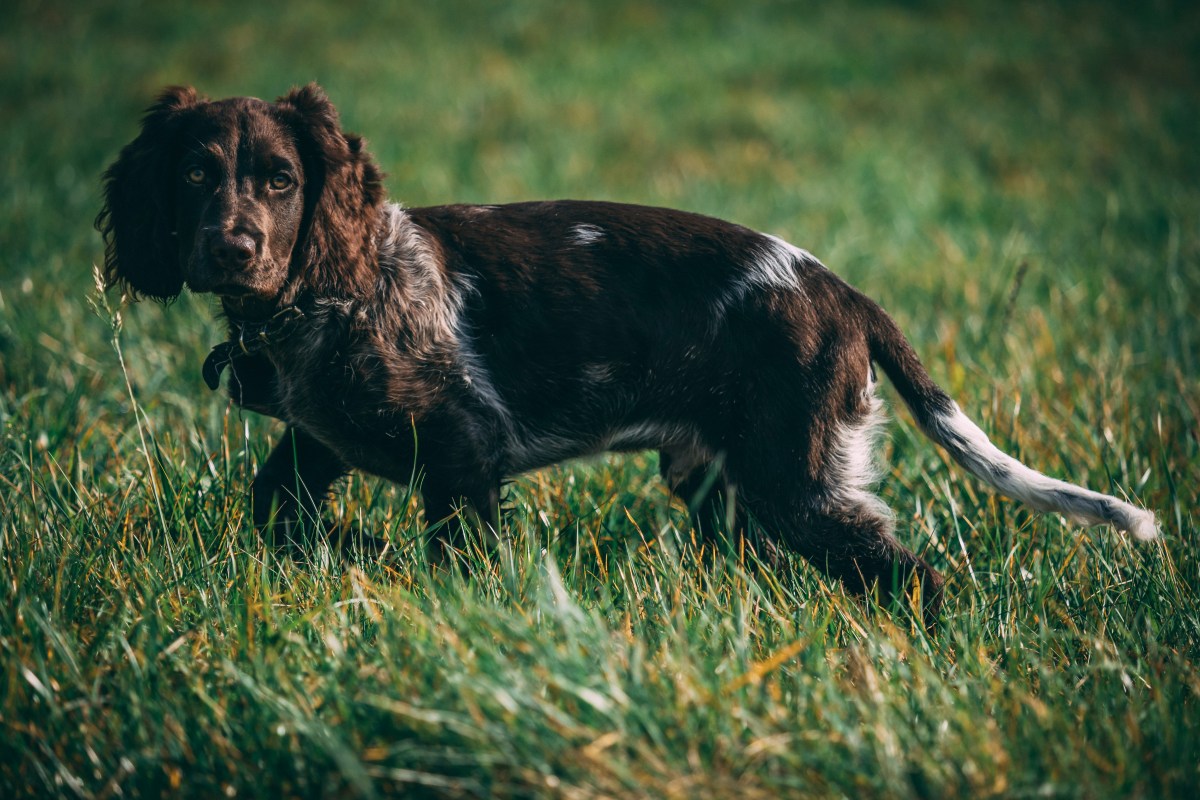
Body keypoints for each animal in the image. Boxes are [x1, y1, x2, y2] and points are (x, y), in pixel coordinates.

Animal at [98, 86, 1156, 623]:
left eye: (281, 179)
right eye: (193, 175)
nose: (230, 249)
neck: (321, 297)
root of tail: (839, 290)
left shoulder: (464, 445)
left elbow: (451, 552)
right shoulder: (318, 441)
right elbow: (278, 508)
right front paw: (350, 550)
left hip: (798, 479)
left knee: (912, 574)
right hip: (726, 485)